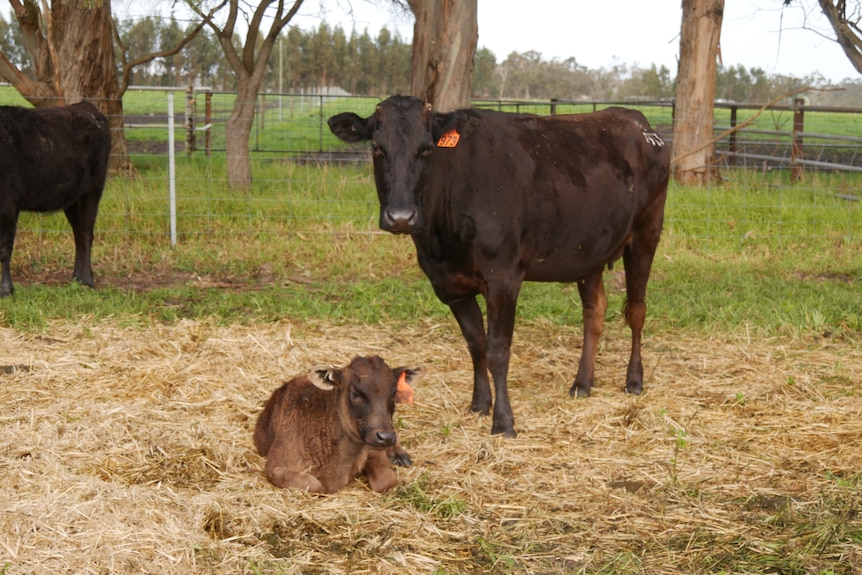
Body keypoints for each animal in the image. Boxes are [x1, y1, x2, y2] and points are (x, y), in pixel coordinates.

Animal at [0, 103, 111, 300]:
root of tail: (86, 106)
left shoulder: (8, 205)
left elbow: (5, 248)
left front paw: (6, 289)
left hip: (94, 189)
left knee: (87, 234)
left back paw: (88, 280)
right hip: (72, 199)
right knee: (79, 234)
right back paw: (76, 278)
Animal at [330, 97, 676, 438]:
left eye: (426, 148)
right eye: (376, 146)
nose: (401, 217)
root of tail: (634, 119)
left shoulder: (504, 277)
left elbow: (498, 350)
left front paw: (504, 422)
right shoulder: (449, 284)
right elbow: (476, 344)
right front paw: (479, 404)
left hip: (646, 232)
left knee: (636, 310)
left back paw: (634, 380)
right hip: (589, 250)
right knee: (595, 310)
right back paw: (582, 383)